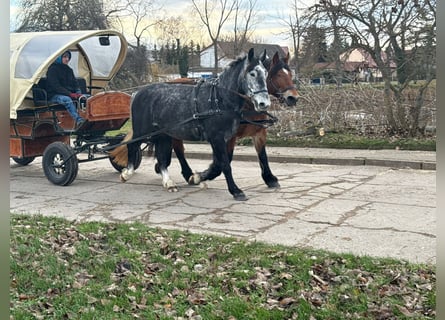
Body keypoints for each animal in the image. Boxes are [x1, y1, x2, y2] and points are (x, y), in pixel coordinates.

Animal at [170, 51, 298, 189]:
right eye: (278, 74)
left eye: (290, 74)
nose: (293, 97)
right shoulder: (227, 136)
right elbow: (222, 161)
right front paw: (200, 176)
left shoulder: (259, 132)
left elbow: (262, 155)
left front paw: (269, 178)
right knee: (178, 149)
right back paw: (187, 173)